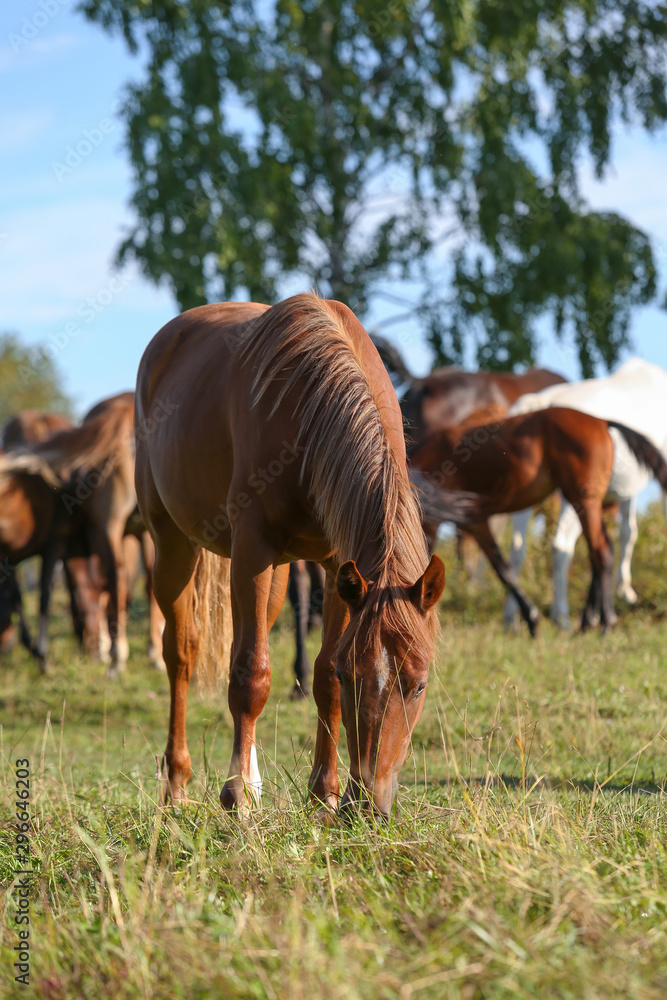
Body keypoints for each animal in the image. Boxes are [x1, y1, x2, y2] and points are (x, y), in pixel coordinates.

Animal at [136, 292, 490, 820]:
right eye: (355, 677)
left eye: (420, 684)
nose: (369, 805)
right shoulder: (254, 548)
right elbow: (252, 673)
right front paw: (237, 798)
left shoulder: (339, 566)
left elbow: (320, 677)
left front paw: (324, 793)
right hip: (174, 544)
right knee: (181, 652)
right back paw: (178, 784)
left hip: (278, 574)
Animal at [412, 410, 667, 636]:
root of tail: (601, 421)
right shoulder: (475, 521)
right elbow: (504, 569)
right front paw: (532, 619)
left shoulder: (441, 521)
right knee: (604, 550)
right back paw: (586, 623)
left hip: (585, 501)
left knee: (600, 551)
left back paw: (606, 623)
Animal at [506, 360, 667, 624]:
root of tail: (541, 405)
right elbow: (630, 532)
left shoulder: (623, 490)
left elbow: (624, 532)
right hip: (573, 497)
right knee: (561, 545)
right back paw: (561, 616)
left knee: (517, 549)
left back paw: (512, 618)